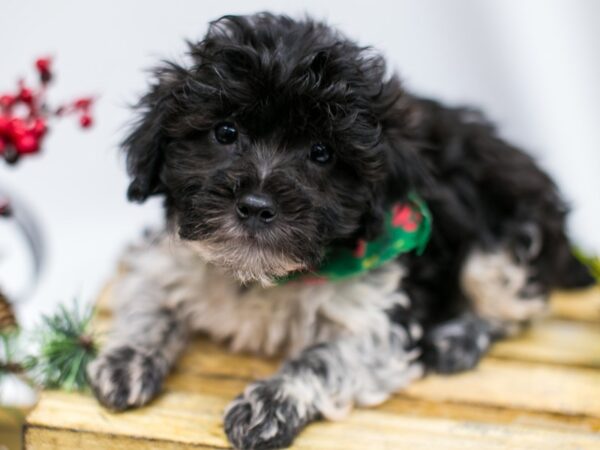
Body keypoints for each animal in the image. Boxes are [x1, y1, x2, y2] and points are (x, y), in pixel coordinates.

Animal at [86, 12, 592, 448]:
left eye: (322, 153)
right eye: (225, 132)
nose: (257, 206)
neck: (265, 278)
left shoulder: (381, 319)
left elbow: (323, 359)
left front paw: (269, 403)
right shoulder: (164, 255)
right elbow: (148, 300)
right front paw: (126, 361)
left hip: (505, 242)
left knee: (513, 305)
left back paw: (457, 339)